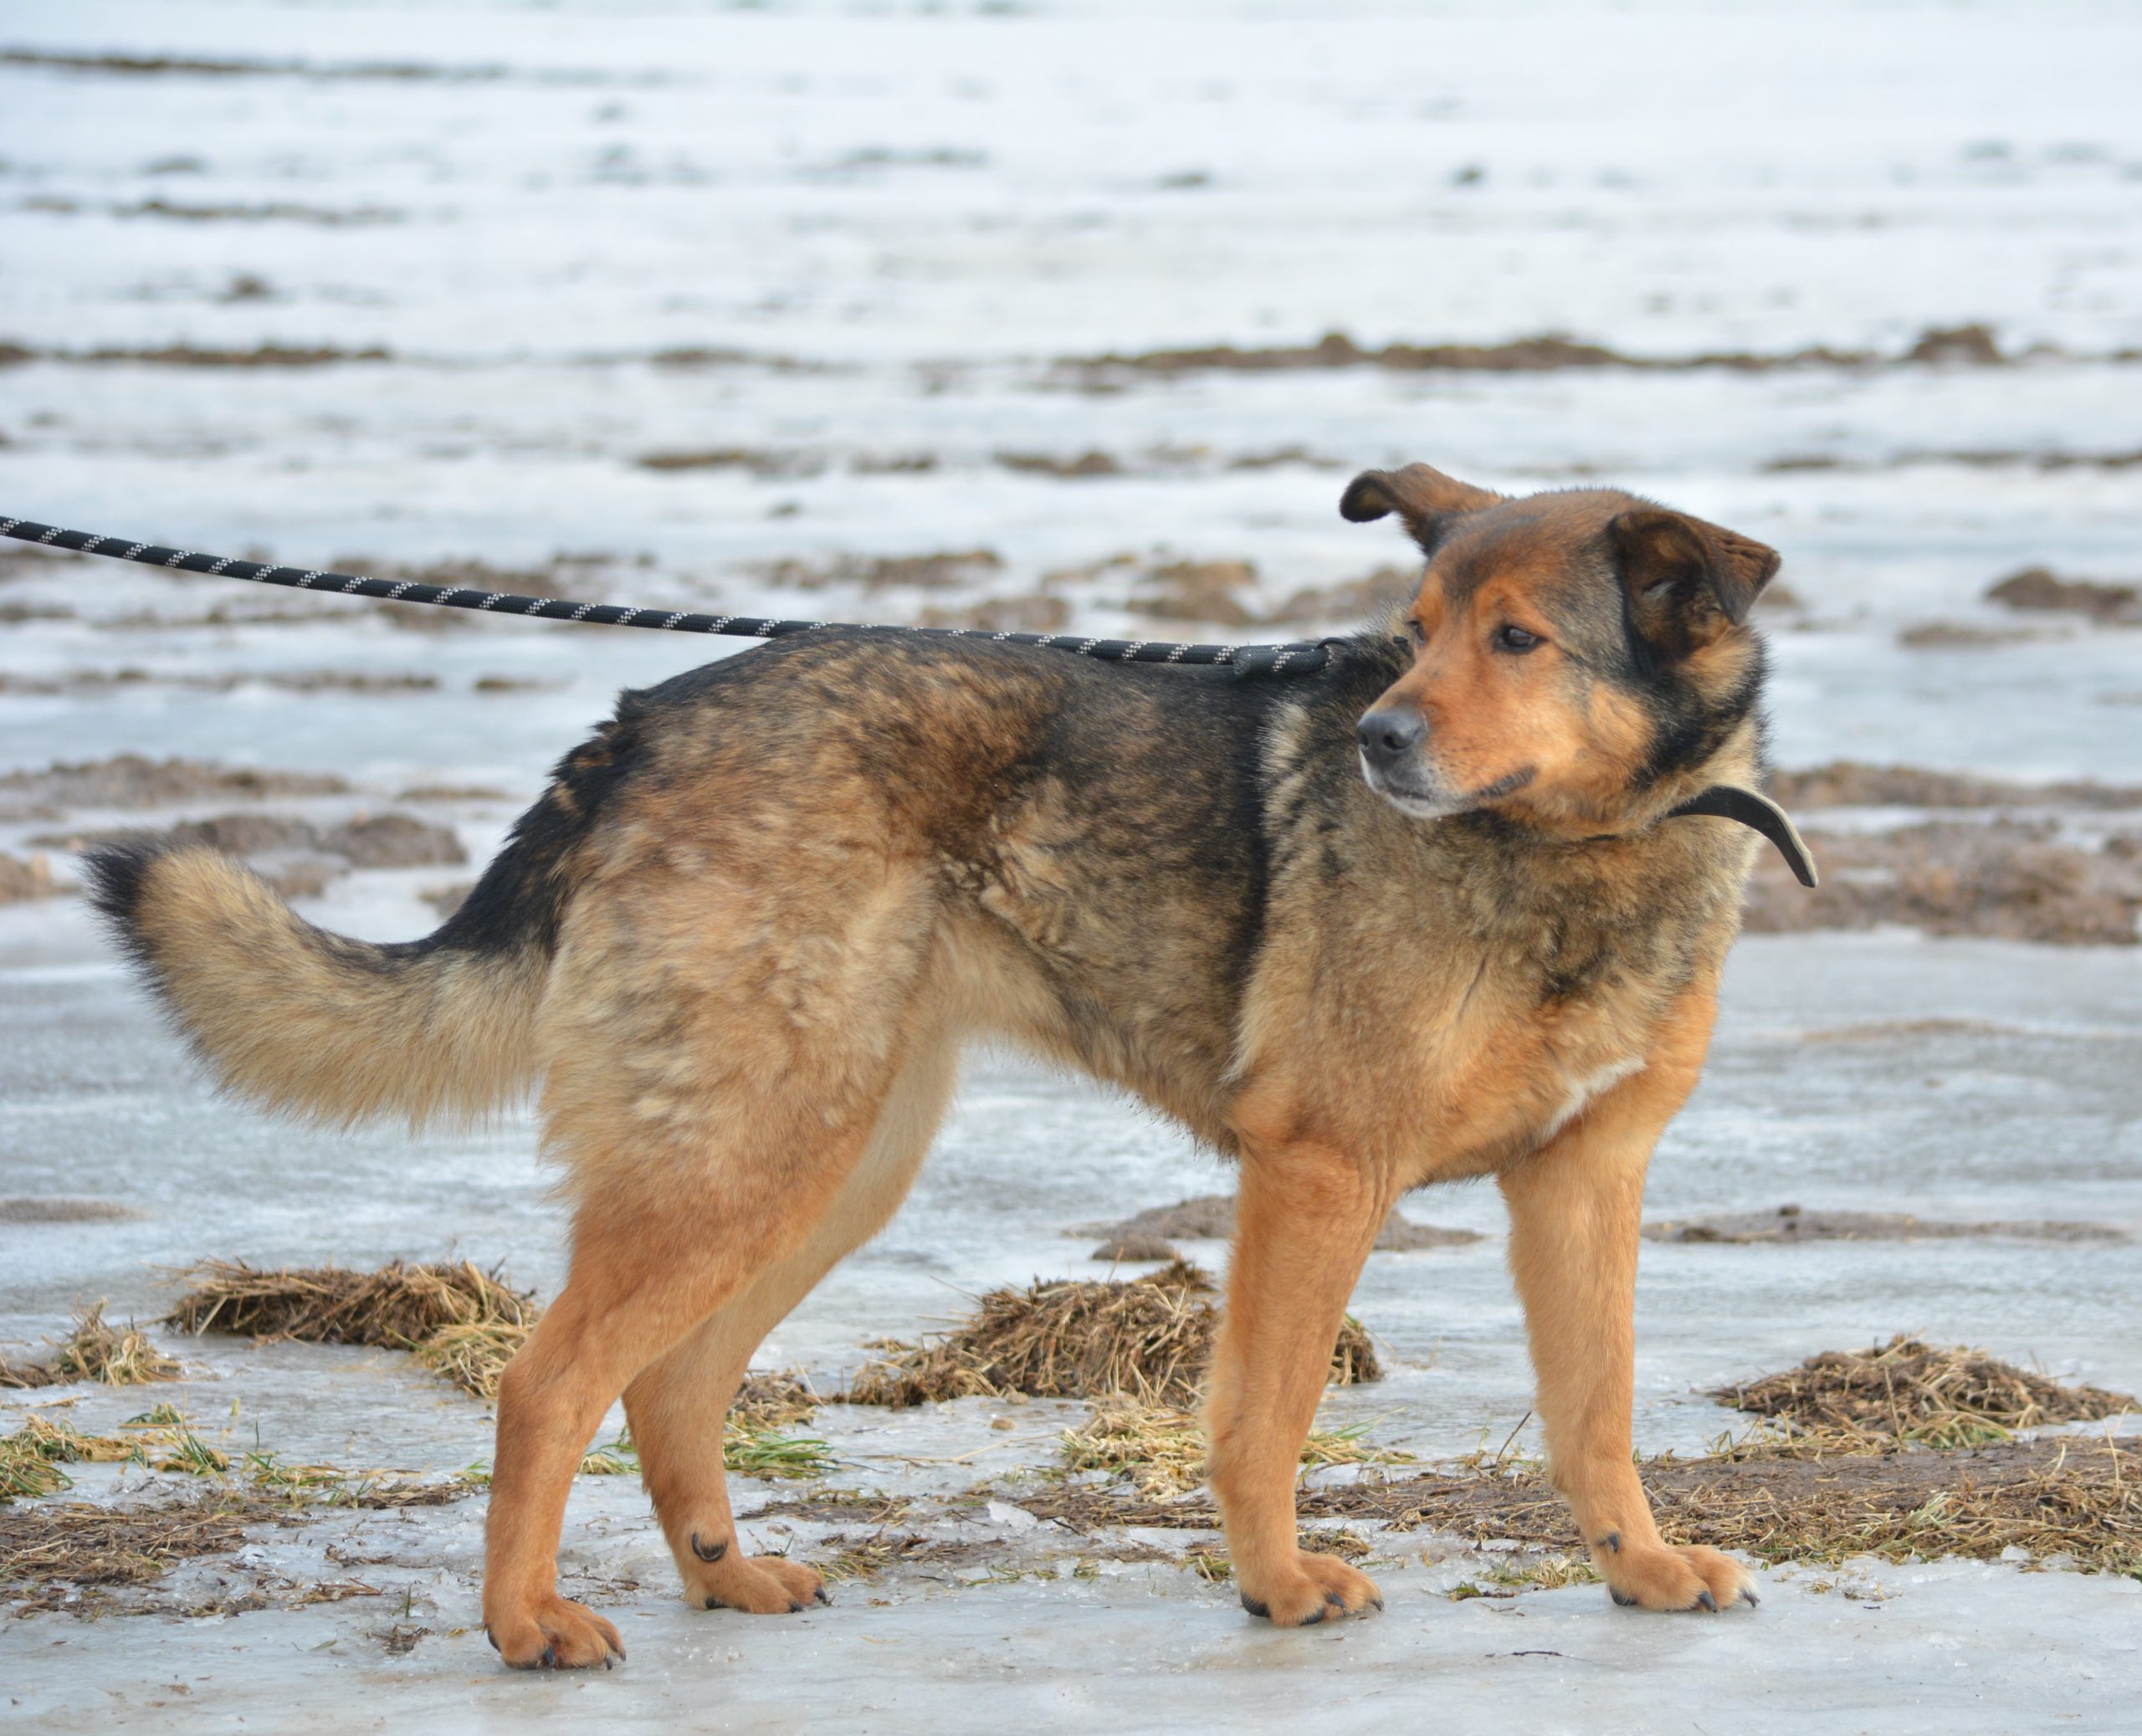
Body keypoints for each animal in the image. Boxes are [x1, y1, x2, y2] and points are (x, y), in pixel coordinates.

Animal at [86, 463, 1805, 1667]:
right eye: (1420, 636)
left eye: (1518, 639)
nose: (1377, 739)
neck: (1586, 849)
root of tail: (638, 722)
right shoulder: (1321, 1171)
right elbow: (1265, 1416)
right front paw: (1274, 1585)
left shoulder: (1584, 1183)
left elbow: (1596, 1407)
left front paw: (1640, 1566)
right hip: (756, 1149)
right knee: (548, 1379)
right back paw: (524, 1625)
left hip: (827, 1157)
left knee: (669, 1380)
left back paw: (727, 1577)